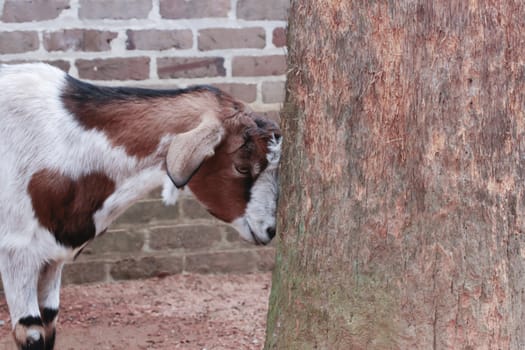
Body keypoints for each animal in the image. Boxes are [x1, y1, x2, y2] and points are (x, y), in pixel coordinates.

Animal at [0, 63, 282, 350]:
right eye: (241, 167)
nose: (270, 230)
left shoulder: (52, 256)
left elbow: (50, 324)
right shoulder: (16, 252)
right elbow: (32, 333)